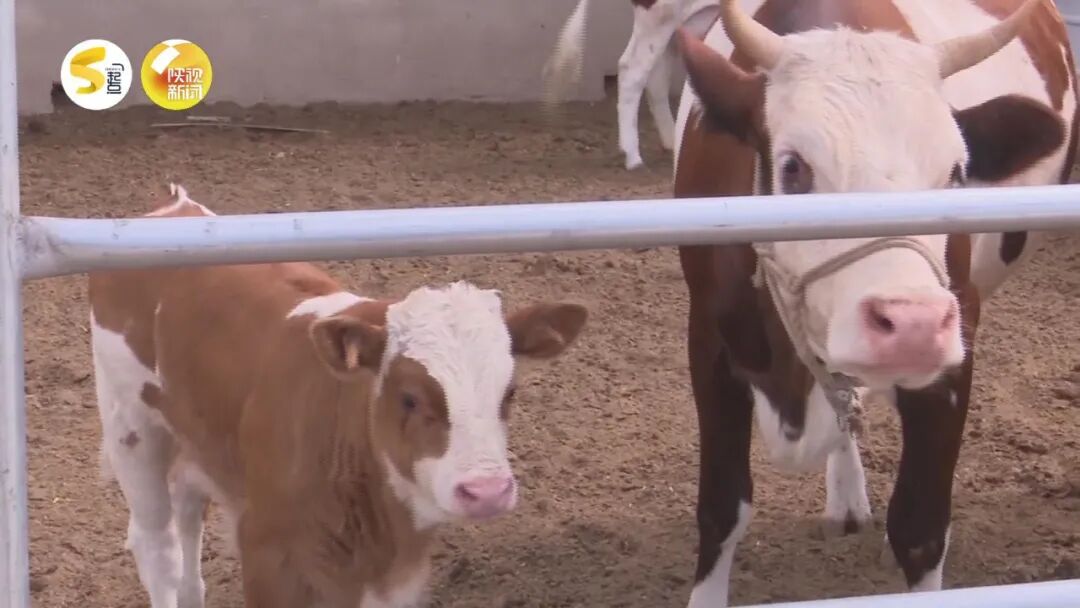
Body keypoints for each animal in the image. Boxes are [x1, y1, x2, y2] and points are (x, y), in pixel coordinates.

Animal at [87, 185, 589, 608]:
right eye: (408, 397)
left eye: (510, 391)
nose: (486, 492)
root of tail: (176, 209)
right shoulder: (267, 553)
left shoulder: (398, 578)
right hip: (131, 424)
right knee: (158, 544)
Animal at [670, 0, 1076, 605]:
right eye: (793, 167)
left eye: (957, 173)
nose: (913, 324)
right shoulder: (710, 339)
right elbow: (722, 508)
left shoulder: (954, 351)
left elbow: (920, 529)